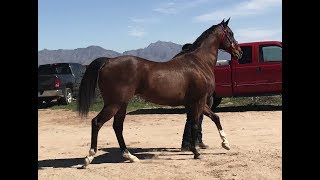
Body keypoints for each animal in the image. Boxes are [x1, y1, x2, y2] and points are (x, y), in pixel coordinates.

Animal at [77, 17, 242, 167]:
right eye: (230, 33)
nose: (239, 53)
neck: (198, 62)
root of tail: (108, 61)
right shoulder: (199, 101)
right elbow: (195, 124)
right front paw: (196, 152)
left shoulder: (196, 103)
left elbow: (215, 117)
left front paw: (225, 144)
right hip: (114, 104)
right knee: (97, 122)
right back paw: (89, 158)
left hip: (121, 104)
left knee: (118, 127)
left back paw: (130, 156)